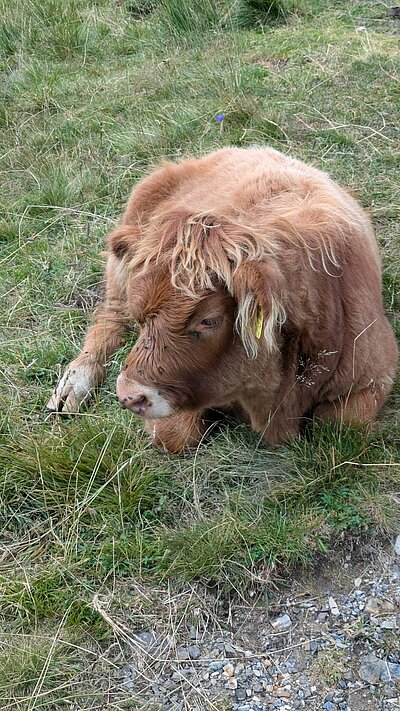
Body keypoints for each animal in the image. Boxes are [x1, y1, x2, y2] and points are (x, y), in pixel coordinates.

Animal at [47, 147, 396, 454]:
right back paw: (72, 386)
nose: (130, 396)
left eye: (209, 320)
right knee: (108, 319)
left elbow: (339, 425)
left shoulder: (377, 377)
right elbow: (174, 436)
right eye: (143, 316)